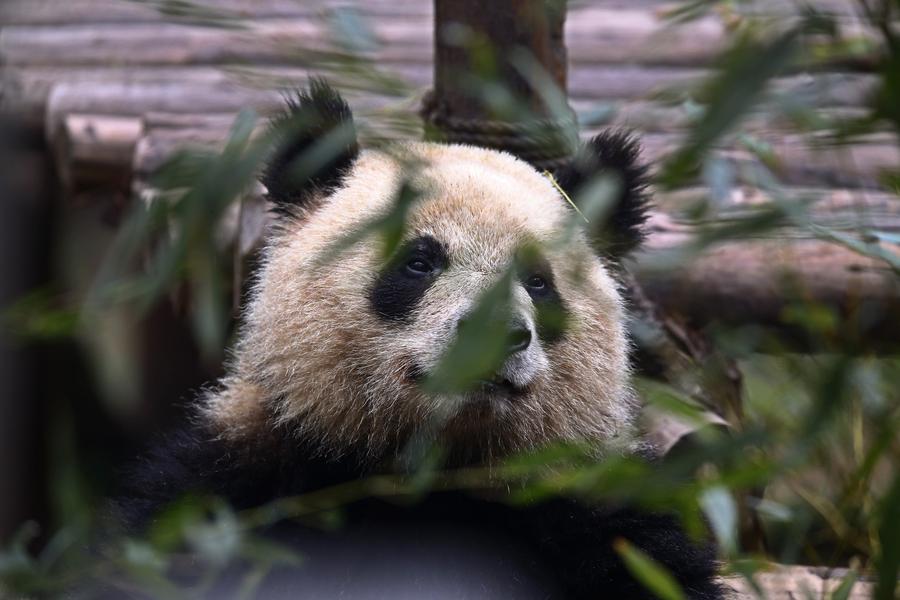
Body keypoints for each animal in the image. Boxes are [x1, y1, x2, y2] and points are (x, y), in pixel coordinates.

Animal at [117, 80, 722, 599]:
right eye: (419, 261)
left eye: (538, 281)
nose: (495, 335)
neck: (435, 464)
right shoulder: (238, 483)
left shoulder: (604, 515)